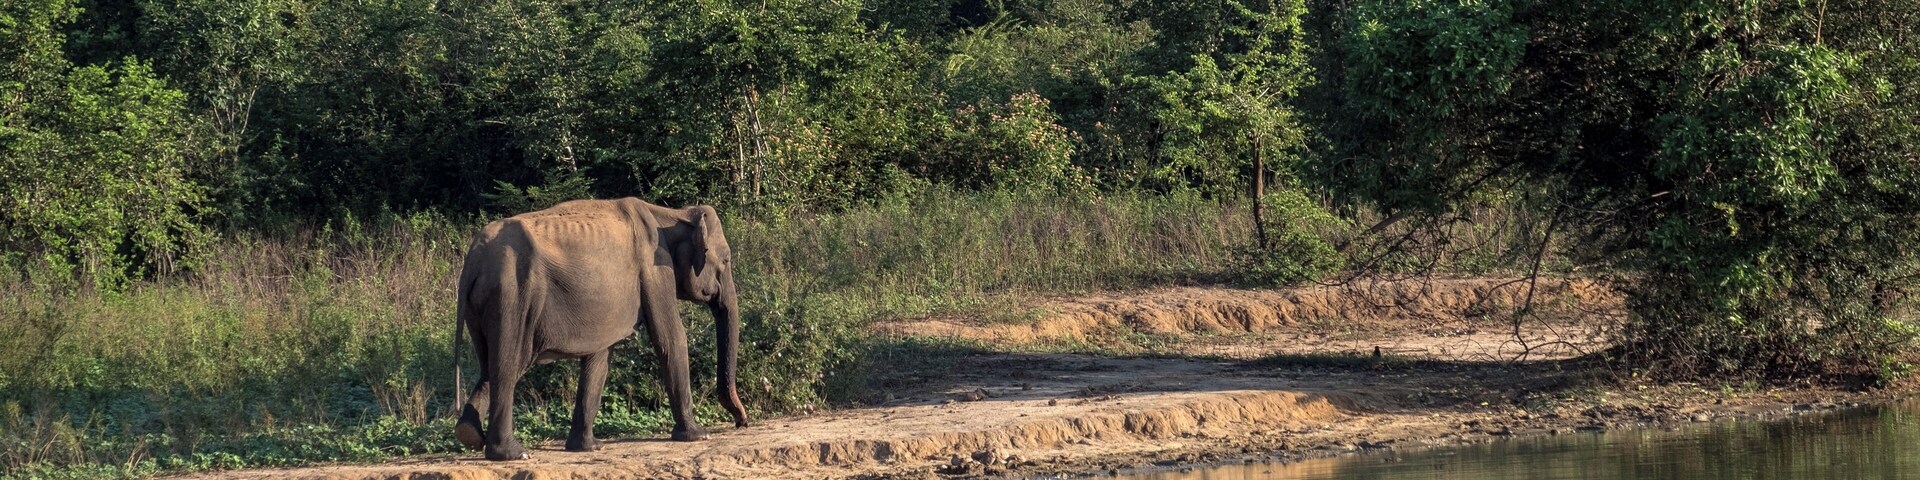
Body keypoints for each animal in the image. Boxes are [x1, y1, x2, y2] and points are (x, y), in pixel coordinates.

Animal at [451, 198, 749, 461]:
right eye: (726, 260)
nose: (741, 422)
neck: (672, 213)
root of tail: (472, 260)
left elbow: (600, 358)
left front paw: (588, 448)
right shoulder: (653, 271)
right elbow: (671, 337)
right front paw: (699, 435)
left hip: (483, 305)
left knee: (489, 365)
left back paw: (469, 434)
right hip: (511, 298)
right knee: (508, 365)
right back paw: (514, 454)